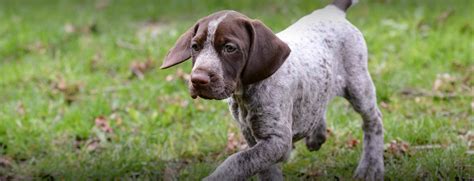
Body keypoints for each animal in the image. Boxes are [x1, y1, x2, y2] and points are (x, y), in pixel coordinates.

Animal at [161, 0, 384, 180]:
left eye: (230, 48)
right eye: (195, 46)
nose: (198, 80)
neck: (244, 93)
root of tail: (332, 11)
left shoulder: (276, 140)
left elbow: (237, 161)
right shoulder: (253, 137)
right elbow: (265, 170)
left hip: (358, 85)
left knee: (373, 121)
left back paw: (371, 167)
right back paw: (316, 135)